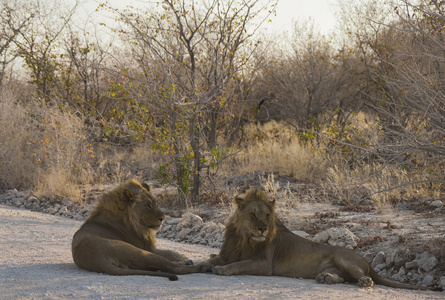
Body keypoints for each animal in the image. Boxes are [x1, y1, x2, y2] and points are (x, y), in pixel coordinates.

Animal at [72, 179, 203, 280]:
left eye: (155, 203)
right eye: (147, 205)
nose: (162, 218)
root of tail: (99, 258)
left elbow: (170, 252)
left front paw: (184, 257)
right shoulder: (147, 247)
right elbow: (169, 252)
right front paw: (184, 258)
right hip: (138, 252)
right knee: (173, 267)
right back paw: (203, 265)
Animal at [203, 188, 442, 290]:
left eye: (268, 216)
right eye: (253, 214)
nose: (262, 229)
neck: (244, 237)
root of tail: (366, 261)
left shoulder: (264, 264)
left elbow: (239, 264)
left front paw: (222, 270)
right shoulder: (229, 253)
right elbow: (211, 260)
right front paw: (203, 265)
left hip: (343, 257)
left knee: (360, 276)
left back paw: (363, 282)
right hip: (339, 268)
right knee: (346, 279)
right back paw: (326, 278)